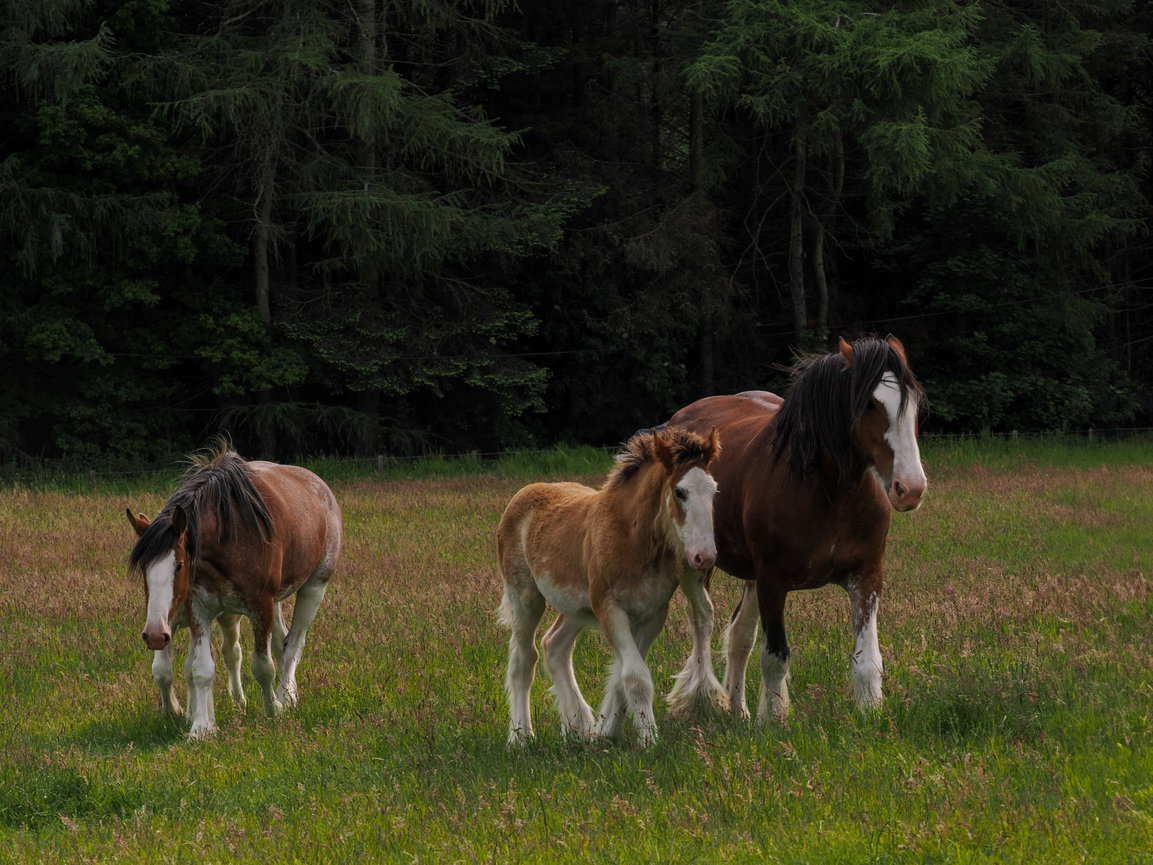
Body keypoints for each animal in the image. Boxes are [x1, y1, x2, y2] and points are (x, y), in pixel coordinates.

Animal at [126, 445, 342, 739]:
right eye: (143, 568)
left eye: (179, 565)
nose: (155, 635)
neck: (230, 537)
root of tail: (320, 487)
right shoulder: (198, 610)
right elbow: (198, 668)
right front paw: (201, 728)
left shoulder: (260, 607)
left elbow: (263, 667)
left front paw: (273, 710)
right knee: (271, 642)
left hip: (313, 587)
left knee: (294, 643)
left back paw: (286, 697)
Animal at [497, 426, 721, 747]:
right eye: (680, 492)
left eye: (714, 491)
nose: (705, 557)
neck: (631, 537)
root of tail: (521, 495)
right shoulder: (610, 609)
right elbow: (636, 677)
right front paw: (649, 740)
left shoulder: (652, 615)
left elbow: (622, 676)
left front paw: (607, 732)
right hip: (526, 598)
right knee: (523, 660)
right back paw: (521, 737)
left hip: (576, 608)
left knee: (555, 646)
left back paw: (578, 727)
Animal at [664, 335, 926, 724]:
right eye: (869, 404)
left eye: (914, 402)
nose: (910, 488)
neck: (829, 492)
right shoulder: (773, 580)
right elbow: (775, 656)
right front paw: (773, 721)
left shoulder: (866, 577)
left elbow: (867, 660)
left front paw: (871, 716)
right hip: (697, 563)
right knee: (703, 624)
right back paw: (704, 700)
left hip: (750, 578)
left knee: (739, 635)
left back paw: (738, 709)